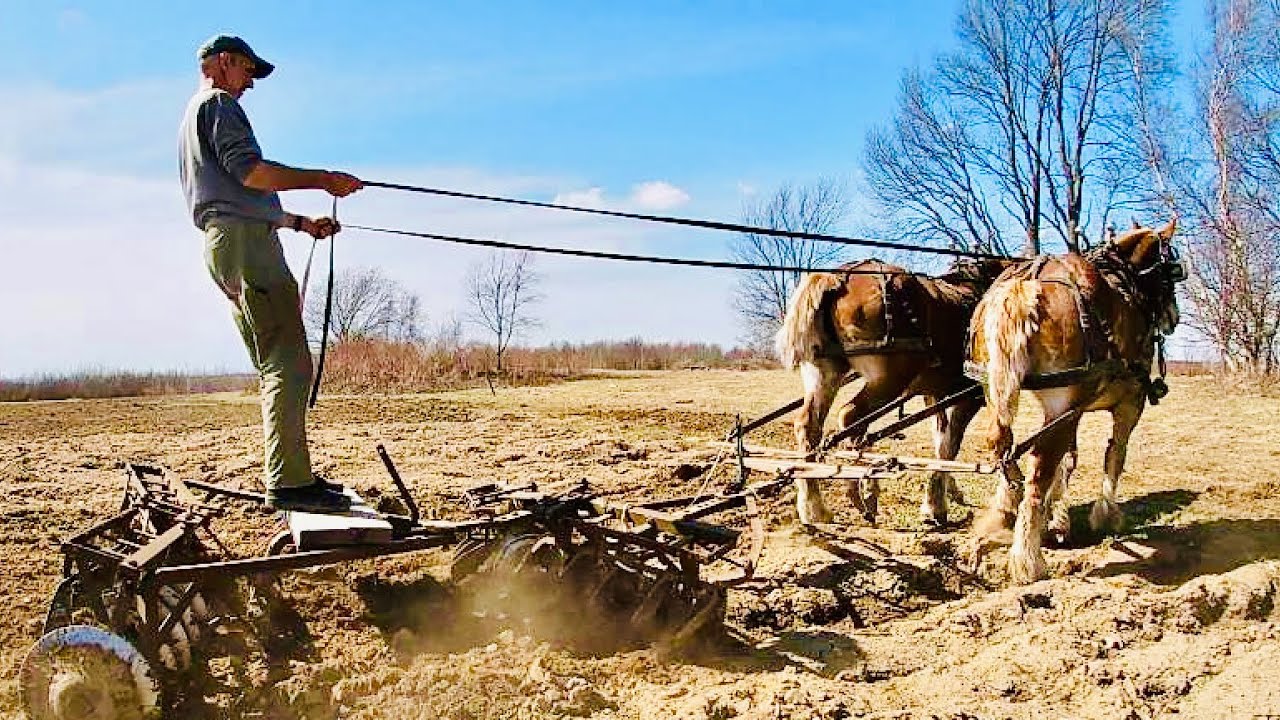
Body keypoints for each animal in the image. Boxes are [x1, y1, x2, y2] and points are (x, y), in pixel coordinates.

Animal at [775, 256, 1013, 527]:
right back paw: (863, 492)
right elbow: (952, 446)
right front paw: (935, 505)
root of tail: (838, 278)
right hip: (888, 381)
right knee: (852, 417)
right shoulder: (971, 397)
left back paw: (814, 506)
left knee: (809, 425)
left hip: (824, 373)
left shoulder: (933, 393)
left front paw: (943, 495)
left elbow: (941, 442)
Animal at [967, 218, 1184, 584]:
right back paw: (1028, 559)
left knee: (1002, 445)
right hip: (1060, 405)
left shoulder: (1074, 410)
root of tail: (1026, 284)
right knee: (1039, 469)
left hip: (997, 390)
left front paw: (1058, 519)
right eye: (1172, 270)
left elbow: (1068, 461)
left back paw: (1006, 508)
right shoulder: (1129, 403)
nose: (1174, 317)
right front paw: (1106, 515)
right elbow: (1115, 455)